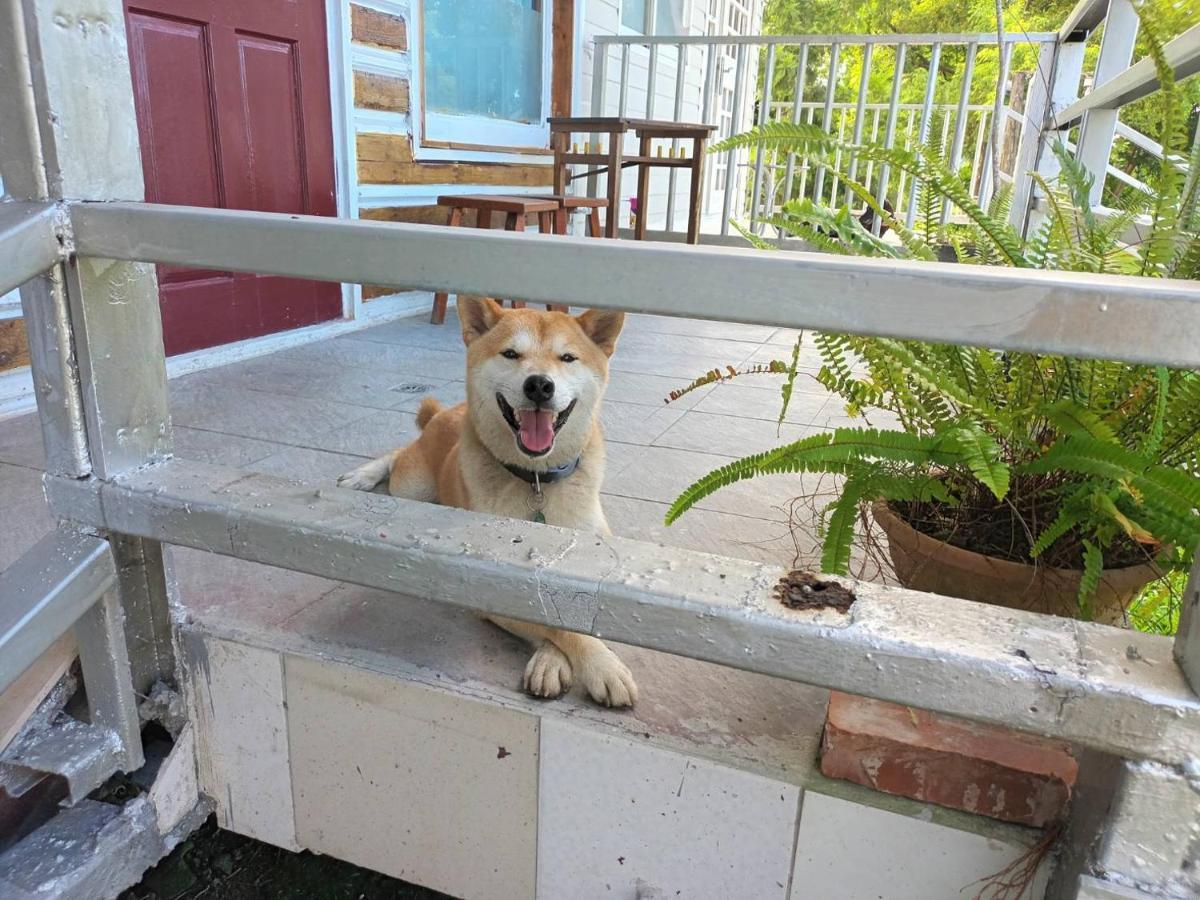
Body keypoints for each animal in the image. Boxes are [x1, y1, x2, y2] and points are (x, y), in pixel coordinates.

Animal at [338, 300, 638, 710]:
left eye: (567, 358)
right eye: (511, 354)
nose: (540, 384)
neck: (536, 480)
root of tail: (444, 412)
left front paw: (558, 660)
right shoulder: (489, 587)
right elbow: (552, 622)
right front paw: (596, 665)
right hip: (412, 487)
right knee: (398, 455)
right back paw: (362, 476)